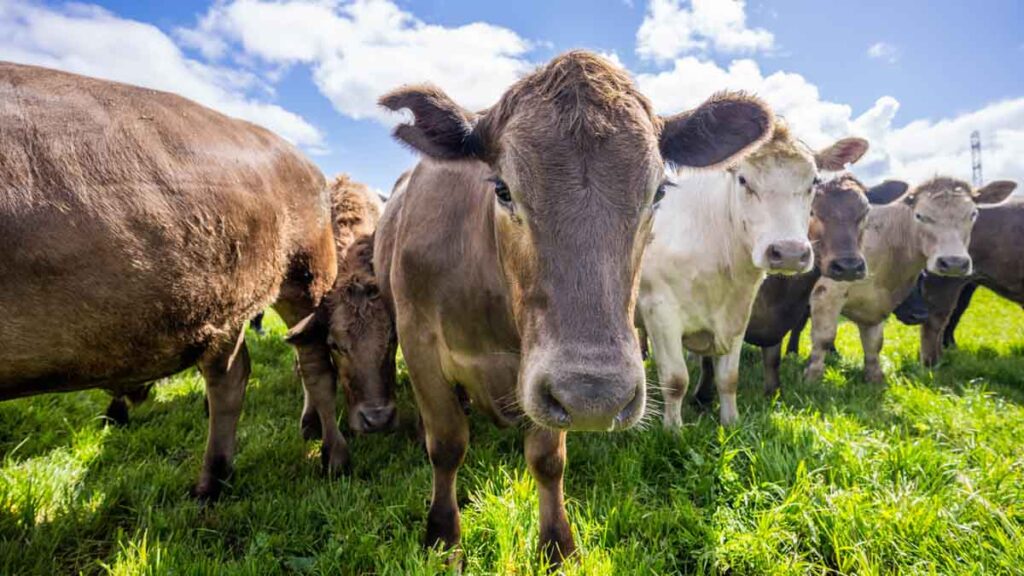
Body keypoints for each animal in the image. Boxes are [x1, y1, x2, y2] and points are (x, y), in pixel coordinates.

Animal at [0, 62, 340, 500]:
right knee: (231, 376)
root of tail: (301, 160)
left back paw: (331, 456)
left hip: (305, 278)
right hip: (226, 304)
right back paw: (214, 480)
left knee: (313, 365)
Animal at [373, 51, 774, 563]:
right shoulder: (418, 341)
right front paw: (443, 537)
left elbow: (548, 458)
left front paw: (557, 543)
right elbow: (446, 443)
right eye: (503, 189)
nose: (594, 397)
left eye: (659, 193)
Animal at [639, 122, 868, 427]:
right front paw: (673, 430)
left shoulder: (738, 314)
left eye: (814, 182)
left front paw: (731, 423)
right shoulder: (660, 312)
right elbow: (676, 380)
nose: (790, 253)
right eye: (743, 180)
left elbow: (729, 379)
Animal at [804, 177, 1016, 383]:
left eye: (973, 214)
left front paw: (875, 378)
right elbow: (824, 337)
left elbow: (874, 343)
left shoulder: (874, 305)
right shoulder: (827, 293)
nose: (954, 262)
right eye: (920, 216)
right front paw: (812, 377)